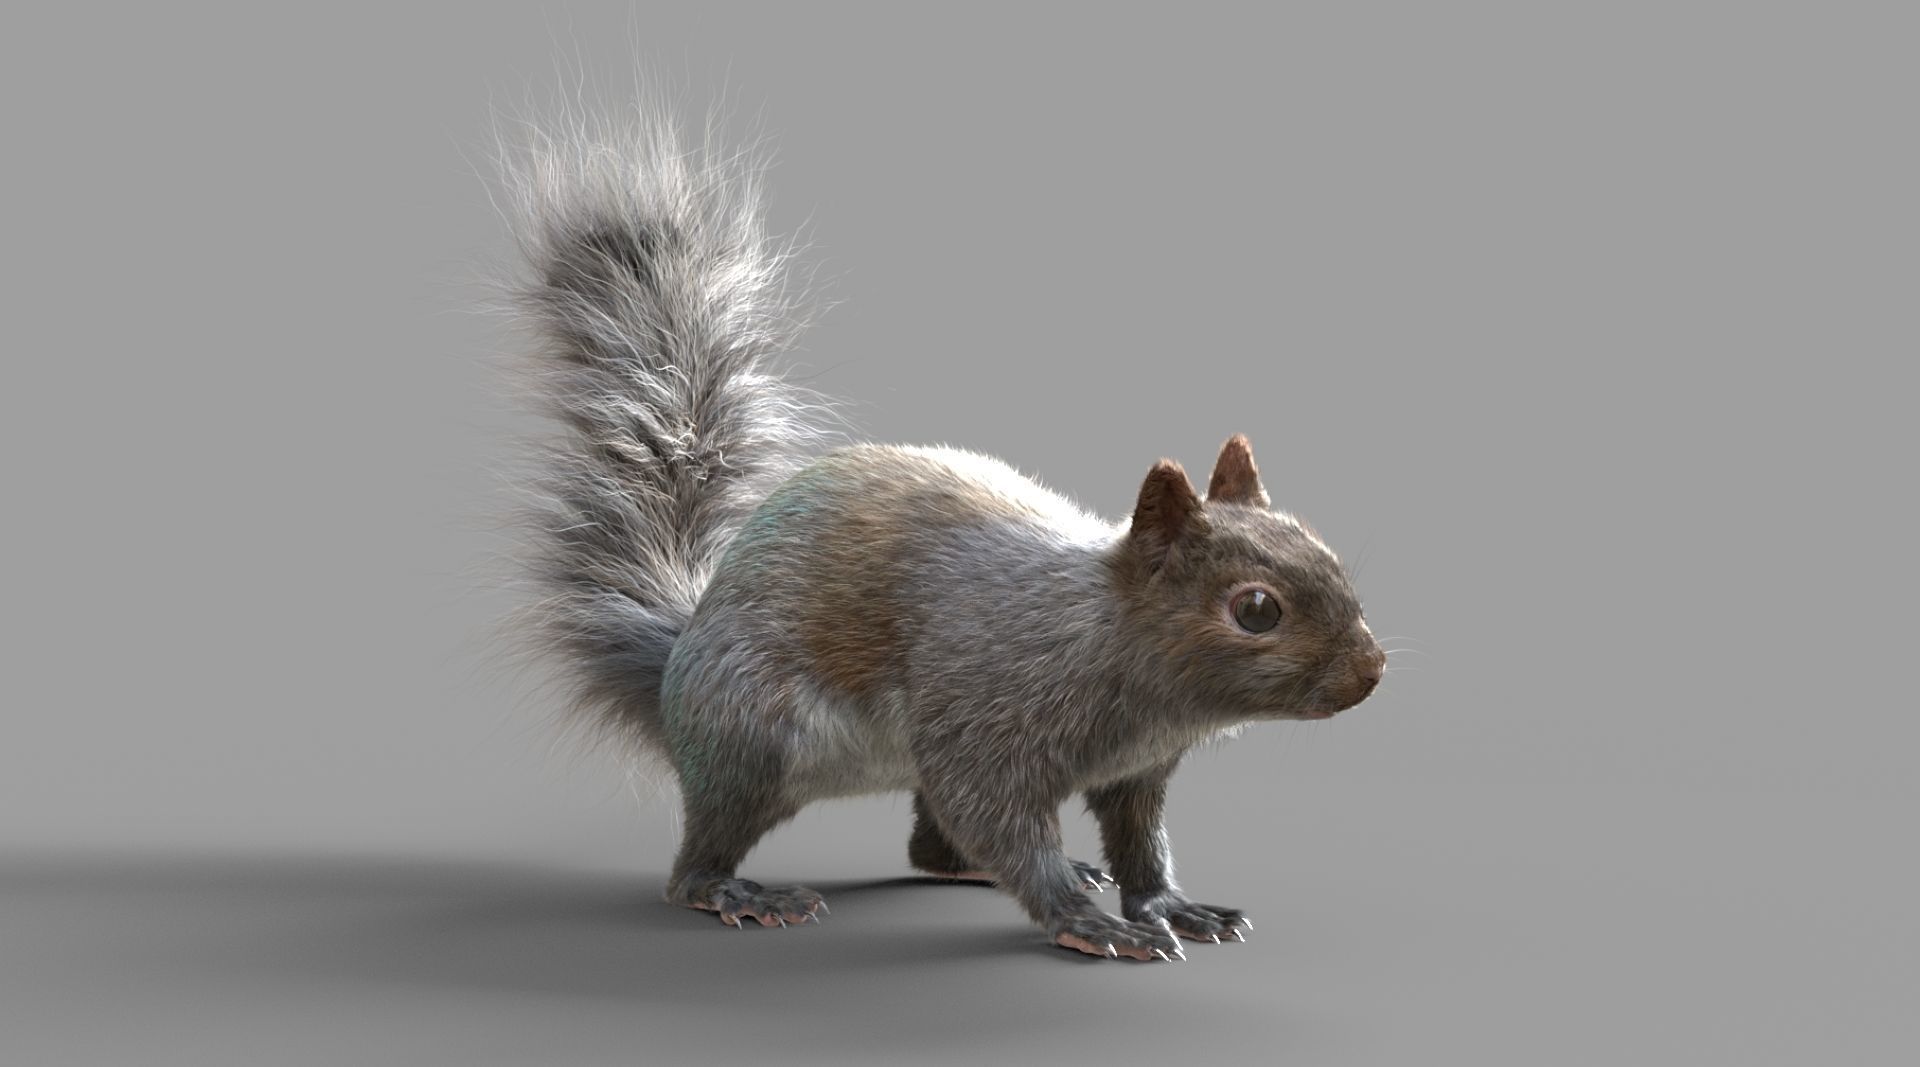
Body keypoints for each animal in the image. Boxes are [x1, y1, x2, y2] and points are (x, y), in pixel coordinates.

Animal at [502, 108, 1386, 962]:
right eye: (1256, 609)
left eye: (1328, 553)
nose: (1371, 671)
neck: (1108, 641)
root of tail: (676, 668)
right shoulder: (987, 712)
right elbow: (996, 813)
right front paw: (1088, 922)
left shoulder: (1137, 770)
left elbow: (1140, 840)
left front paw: (1169, 903)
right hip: (753, 732)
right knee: (701, 854)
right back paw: (738, 891)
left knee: (930, 844)